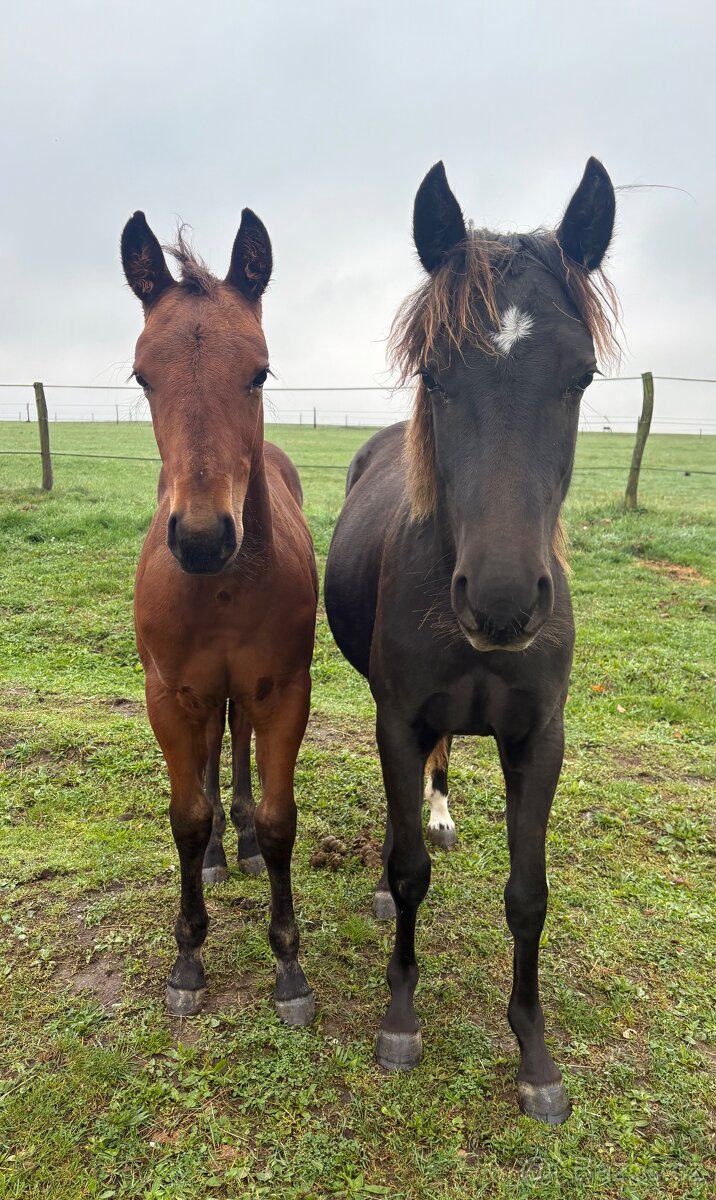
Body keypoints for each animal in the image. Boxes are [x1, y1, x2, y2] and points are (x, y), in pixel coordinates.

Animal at [324, 158, 618, 1123]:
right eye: (435, 371)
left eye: (580, 376)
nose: (500, 602)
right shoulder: (398, 717)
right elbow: (408, 864)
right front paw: (400, 1016)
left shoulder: (540, 739)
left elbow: (529, 896)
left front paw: (535, 1054)